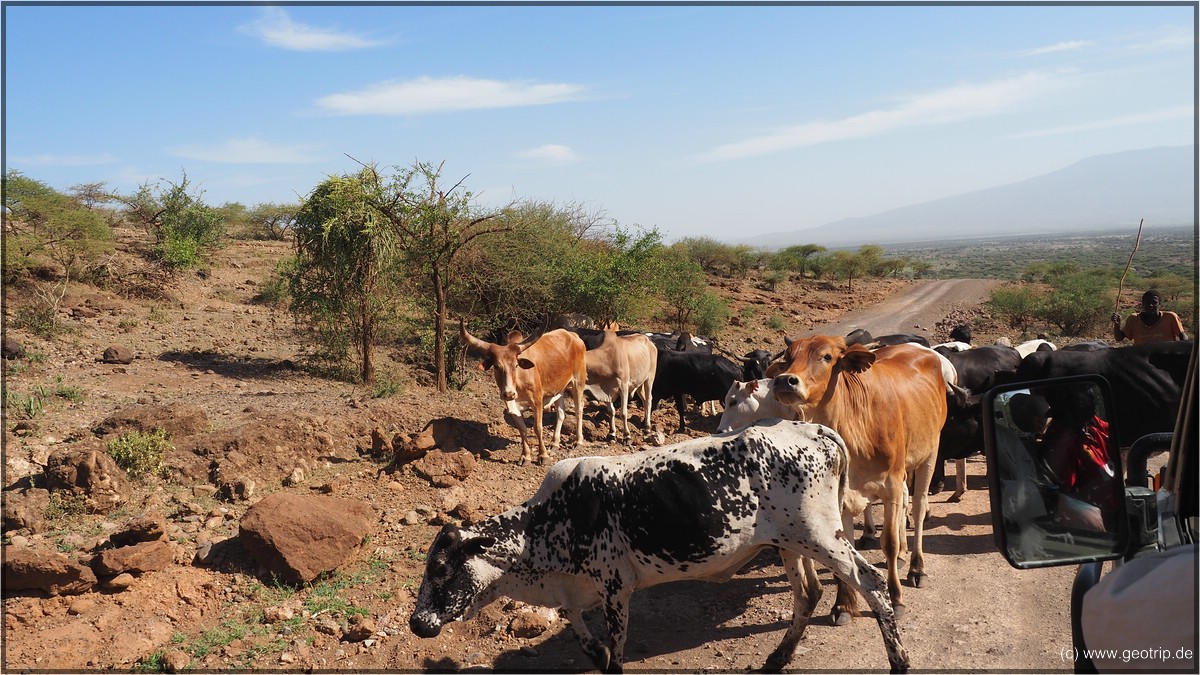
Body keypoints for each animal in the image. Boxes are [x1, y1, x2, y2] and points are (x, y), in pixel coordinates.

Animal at [460, 319, 588, 461]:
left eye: (516, 365)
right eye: (497, 366)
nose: (509, 393)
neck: (519, 384)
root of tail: (574, 336)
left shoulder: (537, 401)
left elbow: (537, 428)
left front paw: (543, 455)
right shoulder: (512, 406)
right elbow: (522, 429)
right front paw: (526, 456)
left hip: (578, 382)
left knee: (579, 409)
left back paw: (579, 441)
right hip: (559, 388)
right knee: (561, 413)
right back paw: (555, 443)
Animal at [772, 333, 950, 619]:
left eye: (827, 357)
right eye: (788, 357)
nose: (784, 380)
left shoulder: (890, 485)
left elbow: (888, 542)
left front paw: (896, 598)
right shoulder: (842, 496)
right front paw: (843, 603)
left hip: (930, 452)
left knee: (918, 506)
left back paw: (916, 567)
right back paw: (904, 555)